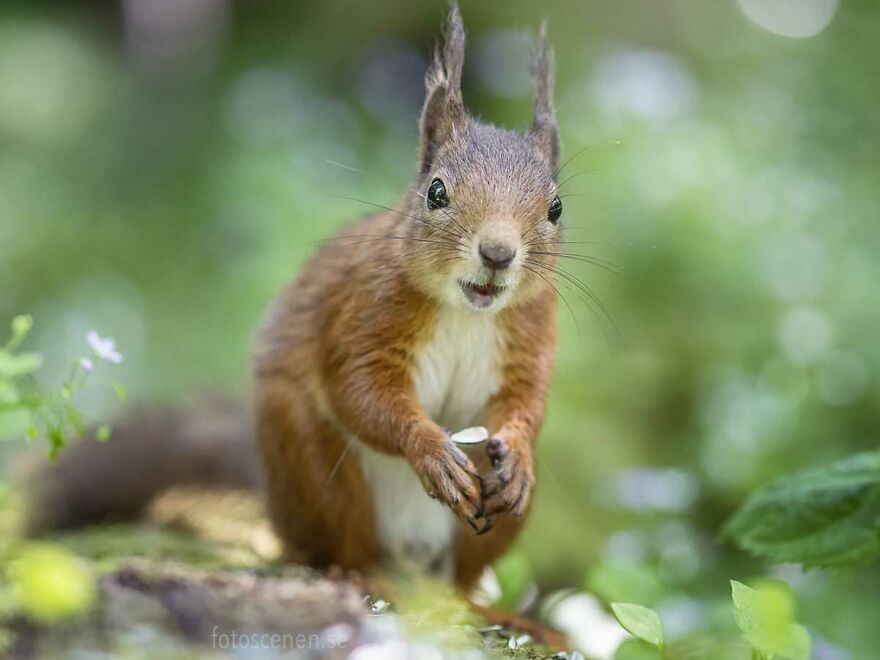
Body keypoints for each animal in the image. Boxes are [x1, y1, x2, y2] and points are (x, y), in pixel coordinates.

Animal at [27, 3, 562, 596]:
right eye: (437, 192)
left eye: (556, 208)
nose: (498, 253)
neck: (467, 313)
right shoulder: (364, 307)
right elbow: (360, 389)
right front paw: (430, 449)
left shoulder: (530, 330)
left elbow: (526, 399)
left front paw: (517, 452)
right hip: (309, 463)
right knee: (338, 546)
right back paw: (361, 575)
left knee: (463, 583)